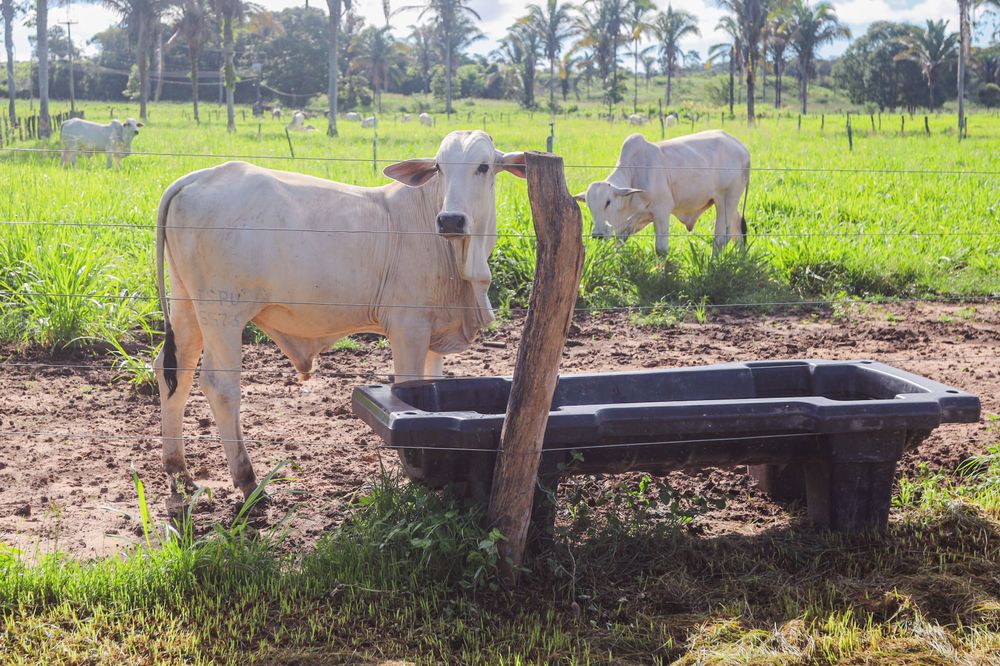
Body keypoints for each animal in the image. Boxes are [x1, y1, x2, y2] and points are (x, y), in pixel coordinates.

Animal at [154, 130, 532, 496]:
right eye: (439, 167)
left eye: (484, 166)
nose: (450, 219)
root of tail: (201, 176)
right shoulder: (408, 328)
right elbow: (409, 387)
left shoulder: (436, 334)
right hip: (222, 312)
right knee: (220, 385)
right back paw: (248, 482)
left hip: (187, 304)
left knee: (175, 372)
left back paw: (179, 472)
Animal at [576, 131, 748, 255]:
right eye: (589, 205)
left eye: (608, 202)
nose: (597, 234)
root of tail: (742, 148)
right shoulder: (630, 222)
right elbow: (619, 245)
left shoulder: (662, 211)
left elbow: (661, 250)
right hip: (730, 203)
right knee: (737, 233)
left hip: (727, 199)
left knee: (720, 239)